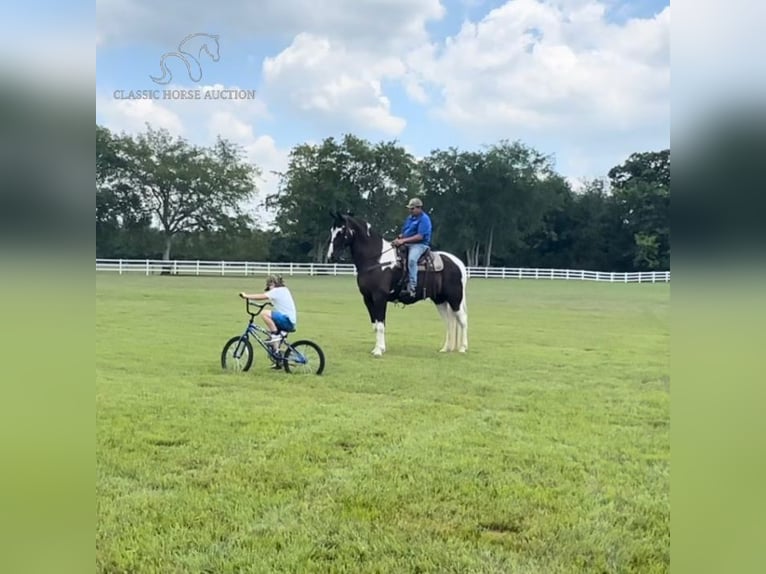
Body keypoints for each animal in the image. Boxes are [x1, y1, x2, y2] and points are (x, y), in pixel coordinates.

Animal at [328, 213, 472, 356]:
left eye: (341, 231)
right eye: (331, 230)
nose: (330, 256)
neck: (377, 259)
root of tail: (458, 263)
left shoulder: (379, 297)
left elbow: (380, 325)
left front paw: (379, 350)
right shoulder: (367, 298)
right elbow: (375, 325)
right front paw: (378, 348)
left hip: (455, 299)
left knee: (463, 320)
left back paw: (463, 348)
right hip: (440, 300)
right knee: (449, 322)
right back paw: (446, 348)